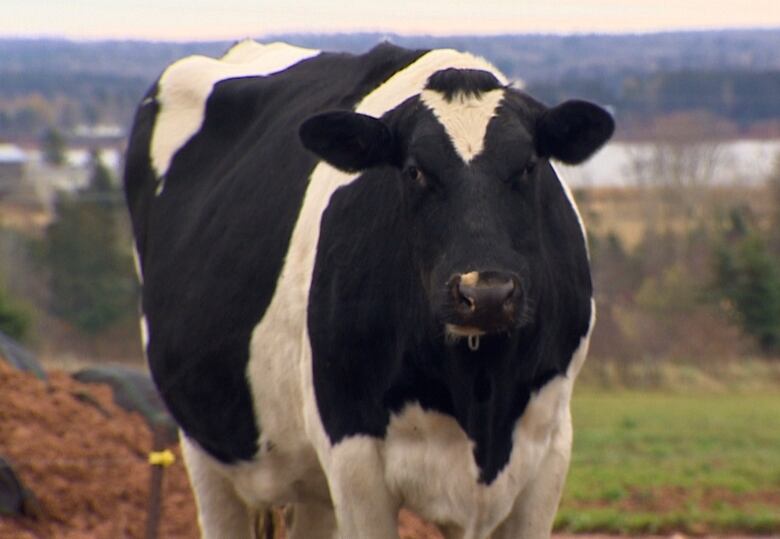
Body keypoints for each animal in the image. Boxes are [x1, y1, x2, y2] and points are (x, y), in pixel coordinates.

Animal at [123, 41, 608, 539]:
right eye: (414, 171)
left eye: (529, 165)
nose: (486, 294)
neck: (477, 386)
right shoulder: (352, 452)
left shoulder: (548, 451)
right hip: (204, 445)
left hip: (307, 483)